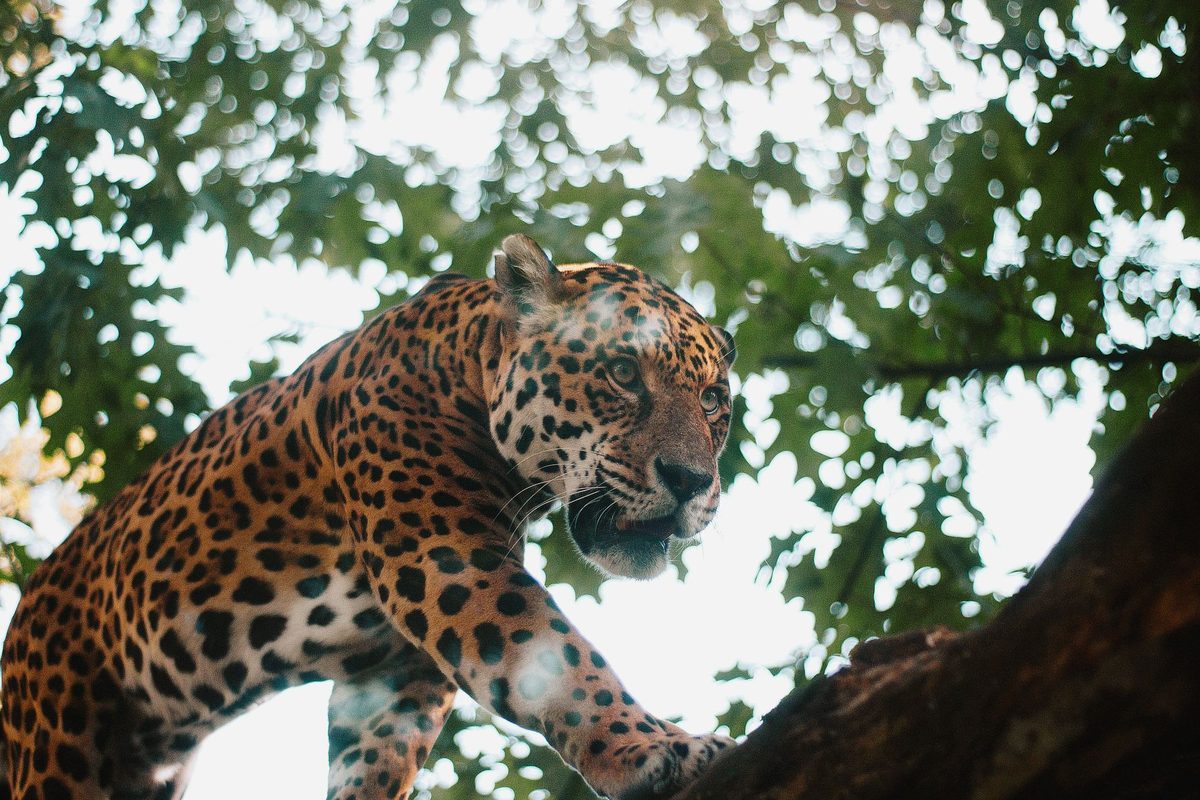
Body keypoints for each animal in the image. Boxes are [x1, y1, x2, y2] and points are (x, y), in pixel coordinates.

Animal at [0, 233, 738, 800]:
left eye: (712, 400)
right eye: (622, 372)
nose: (691, 481)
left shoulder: (394, 671)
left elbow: (377, 761)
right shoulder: (447, 562)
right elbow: (563, 661)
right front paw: (653, 747)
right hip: (57, 741)